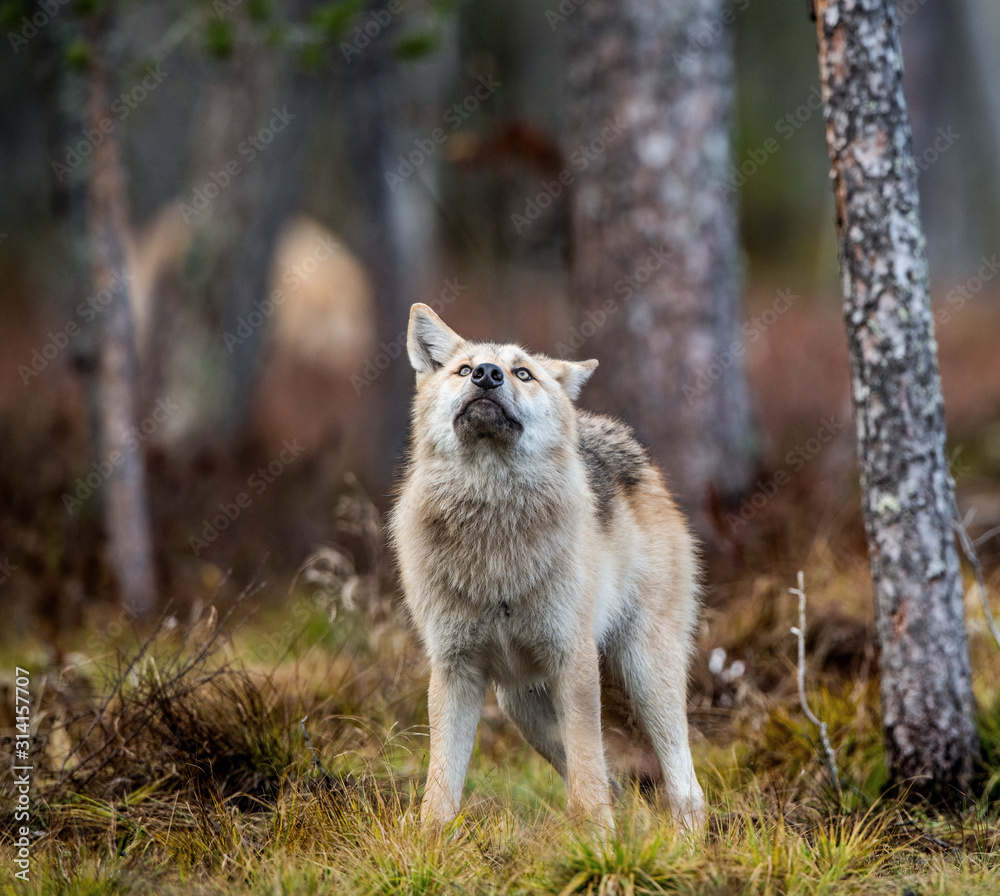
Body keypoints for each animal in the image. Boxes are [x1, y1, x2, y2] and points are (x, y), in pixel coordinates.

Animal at [389, 303, 705, 830]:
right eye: (463, 370)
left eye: (523, 373)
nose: (487, 374)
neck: (494, 540)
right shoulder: (455, 669)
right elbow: (440, 788)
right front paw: (428, 847)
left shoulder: (572, 662)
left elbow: (588, 776)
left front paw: (598, 843)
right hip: (521, 706)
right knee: (613, 781)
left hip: (646, 670)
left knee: (682, 782)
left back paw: (685, 843)